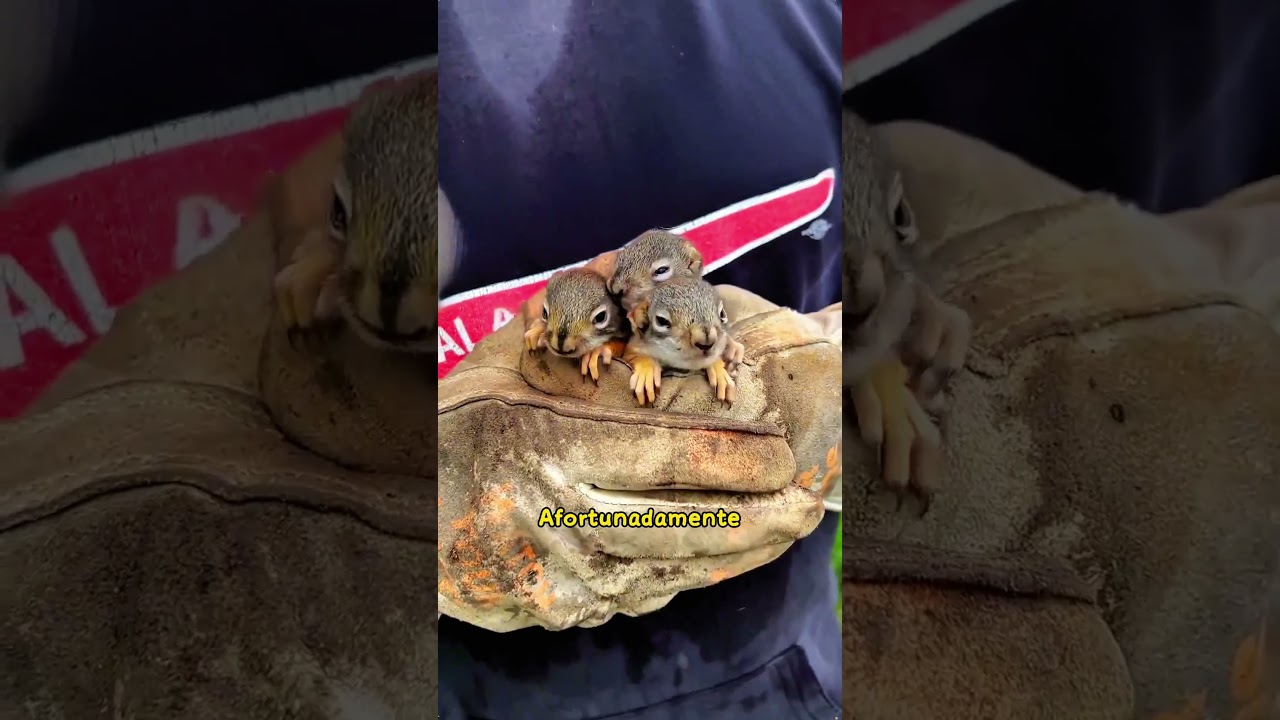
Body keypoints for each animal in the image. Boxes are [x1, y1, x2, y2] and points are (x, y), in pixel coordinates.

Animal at [623, 277, 738, 407]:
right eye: (661, 321)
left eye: (722, 313)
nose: (707, 342)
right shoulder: (633, 345)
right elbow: (634, 355)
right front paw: (647, 371)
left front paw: (720, 373)